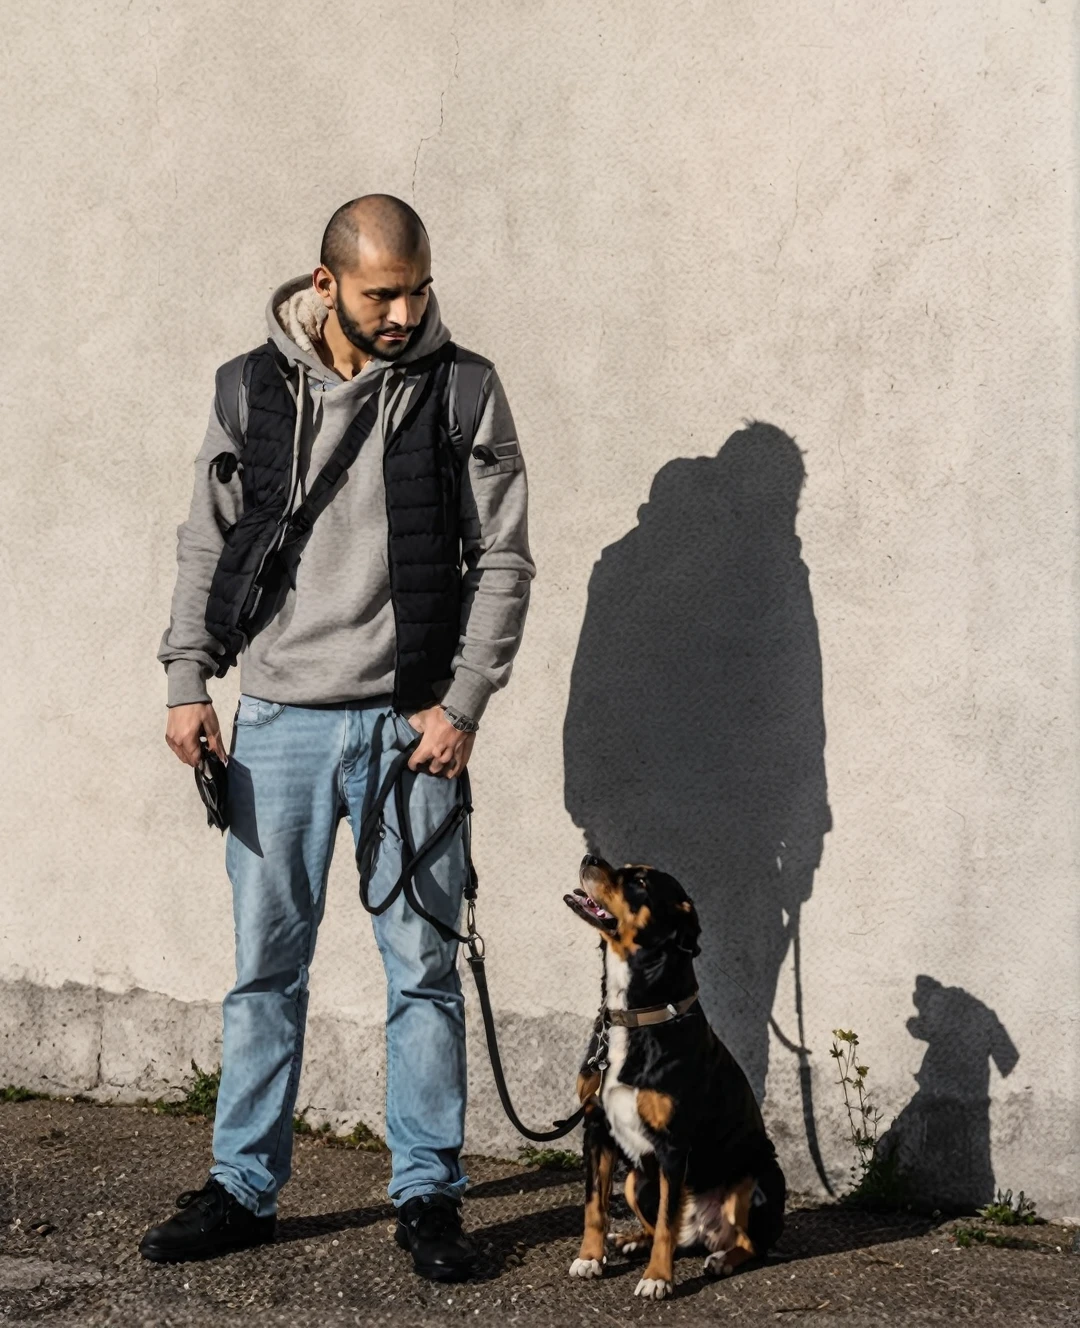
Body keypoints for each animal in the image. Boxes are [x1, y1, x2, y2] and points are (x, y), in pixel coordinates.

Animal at [565, 849, 781, 1296]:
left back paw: (722, 1259)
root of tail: (702, 1232)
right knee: (671, 1232)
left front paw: (657, 1279)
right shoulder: (596, 1129)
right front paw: (590, 1257)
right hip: (637, 1180)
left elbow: (667, 1220)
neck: (634, 1016)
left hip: (758, 1176)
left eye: (640, 883)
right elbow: (595, 1206)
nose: (590, 856)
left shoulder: (673, 1146)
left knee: (749, 1243)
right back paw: (631, 1240)